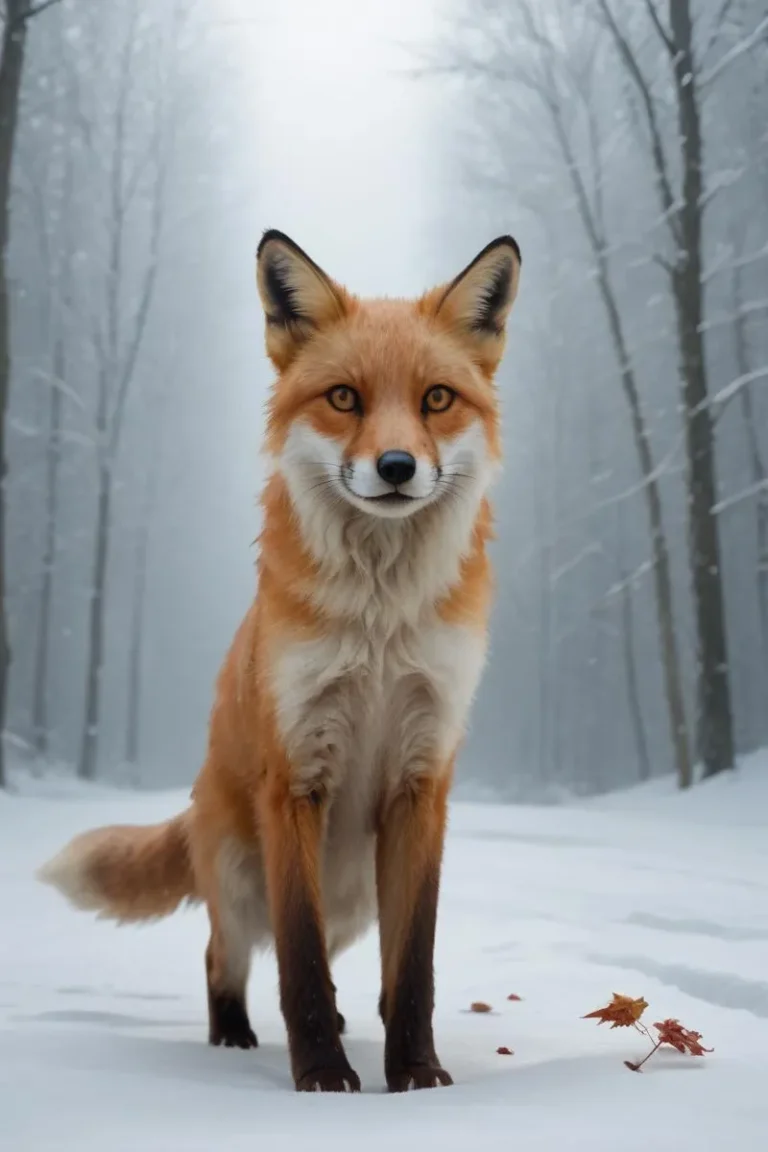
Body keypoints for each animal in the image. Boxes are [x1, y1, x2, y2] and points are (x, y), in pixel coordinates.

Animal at [39, 229, 525, 1092]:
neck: (378, 626)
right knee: (223, 957)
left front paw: (415, 1073)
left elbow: (413, 970)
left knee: (344, 963)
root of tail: (195, 800)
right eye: (345, 398)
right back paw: (233, 1034)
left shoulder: (422, 781)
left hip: (355, 893)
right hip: (240, 875)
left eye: (436, 399)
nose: (396, 467)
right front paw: (324, 1078)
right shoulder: (295, 776)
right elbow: (297, 962)